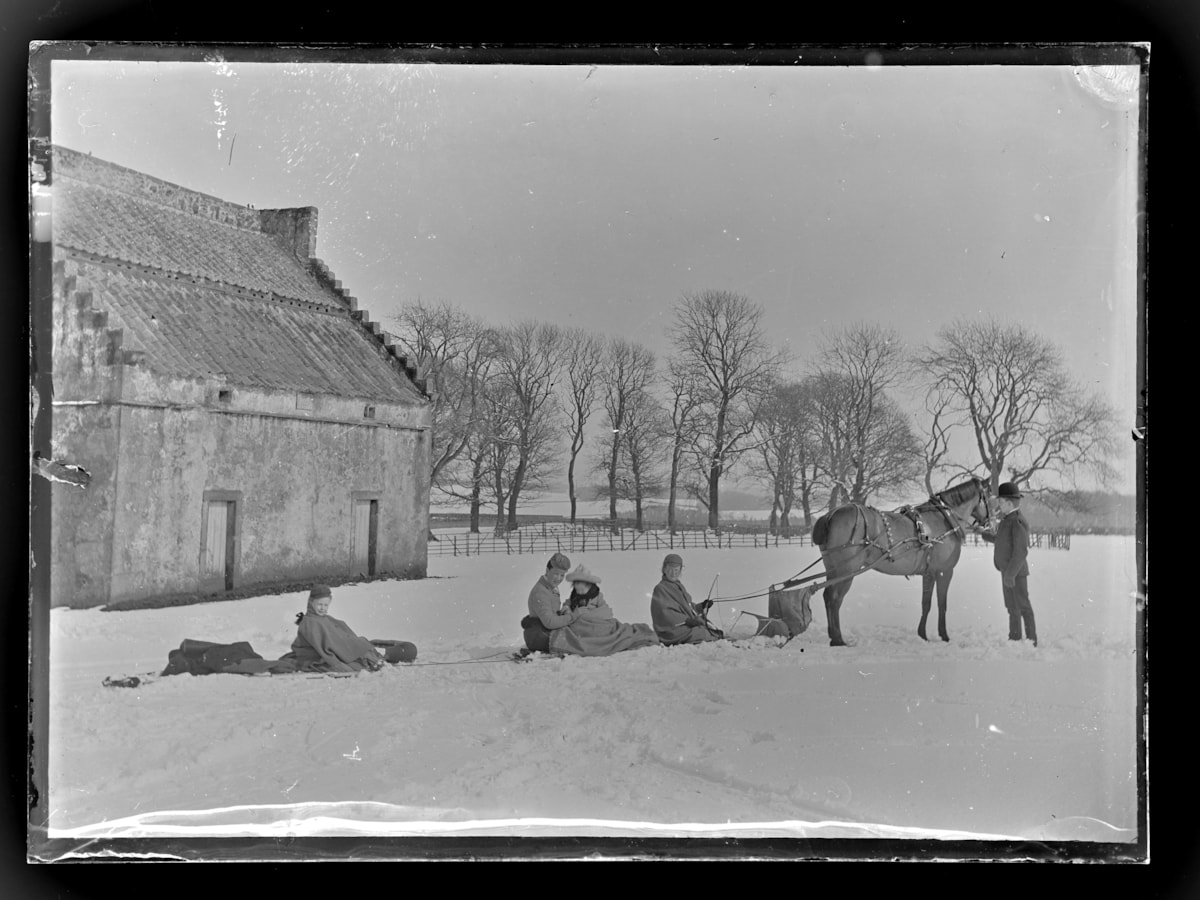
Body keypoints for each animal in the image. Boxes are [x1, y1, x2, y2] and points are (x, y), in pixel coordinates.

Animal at [806, 480, 993, 648]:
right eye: (990, 496)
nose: (991, 523)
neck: (944, 519)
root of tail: (830, 515)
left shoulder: (929, 573)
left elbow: (926, 603)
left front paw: (922, 634)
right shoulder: (944, 571)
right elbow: (942, 604)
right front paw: (944, 635)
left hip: (833, 568)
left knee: (828, 597)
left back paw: (833, 636)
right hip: (846, 570)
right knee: (834, 599)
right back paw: (838, 638)